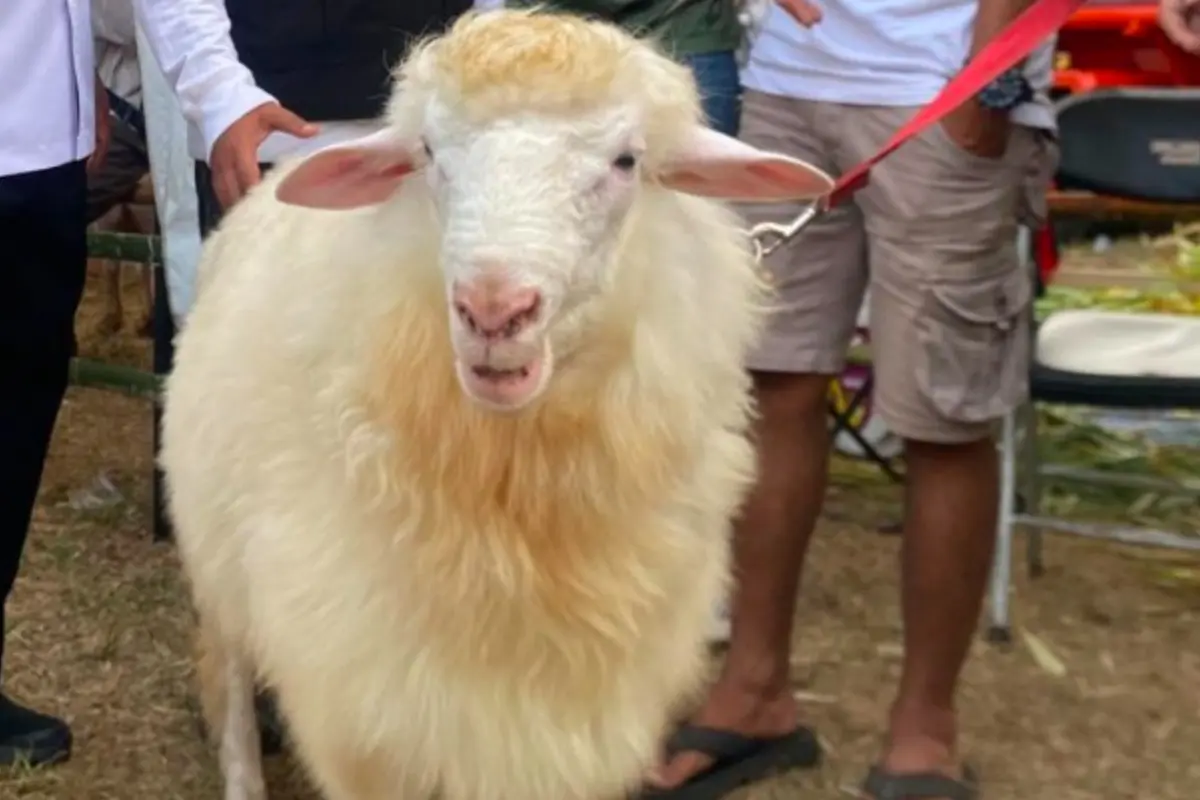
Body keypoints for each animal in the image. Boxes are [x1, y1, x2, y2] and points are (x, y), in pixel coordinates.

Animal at [159, 8, 832, 800]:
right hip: (216, 544)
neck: (516, 502)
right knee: (231, 683)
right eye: (428, 152)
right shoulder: (366, 702)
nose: (493, 311)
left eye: (627, 162)